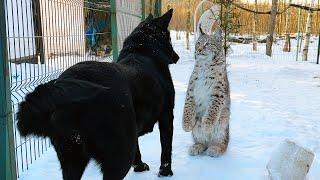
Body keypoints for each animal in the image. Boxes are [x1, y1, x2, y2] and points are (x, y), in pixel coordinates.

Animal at [16, 9, 178, 179]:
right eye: (169, 38)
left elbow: (138, 151)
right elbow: (166, 148)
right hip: (119, 156)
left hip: (72, 159)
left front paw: (139, 167)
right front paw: (165, 172)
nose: (177, 57)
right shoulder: (167, 115)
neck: (141, 50)